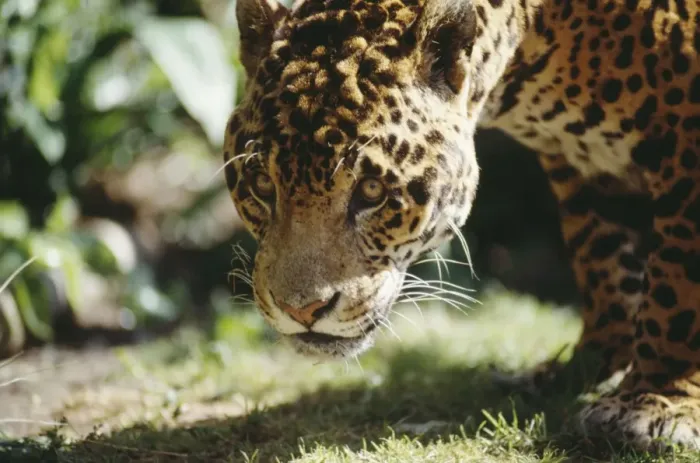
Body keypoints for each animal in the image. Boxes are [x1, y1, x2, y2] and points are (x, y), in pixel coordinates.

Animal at [223, 0, 700, 450]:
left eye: (372, 191)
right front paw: (582, 369)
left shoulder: (685, 156)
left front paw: (655, 402)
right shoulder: (580, 167)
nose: (302, 311)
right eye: (262, 184)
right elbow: (604, 264)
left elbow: (675, 286)